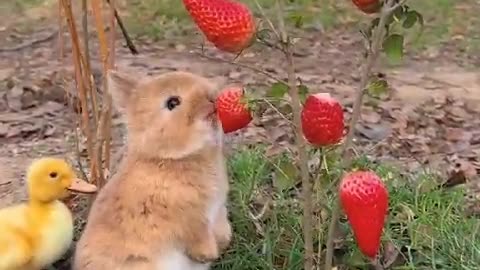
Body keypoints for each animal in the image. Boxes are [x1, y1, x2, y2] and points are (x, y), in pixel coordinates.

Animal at [71, 70, 234, 270]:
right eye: (172, 102)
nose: (212, 98)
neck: (167, 158)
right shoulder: (188, 220)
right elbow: (196, 235)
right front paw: (208, 254)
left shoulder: (217, 209)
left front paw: (223, 241)